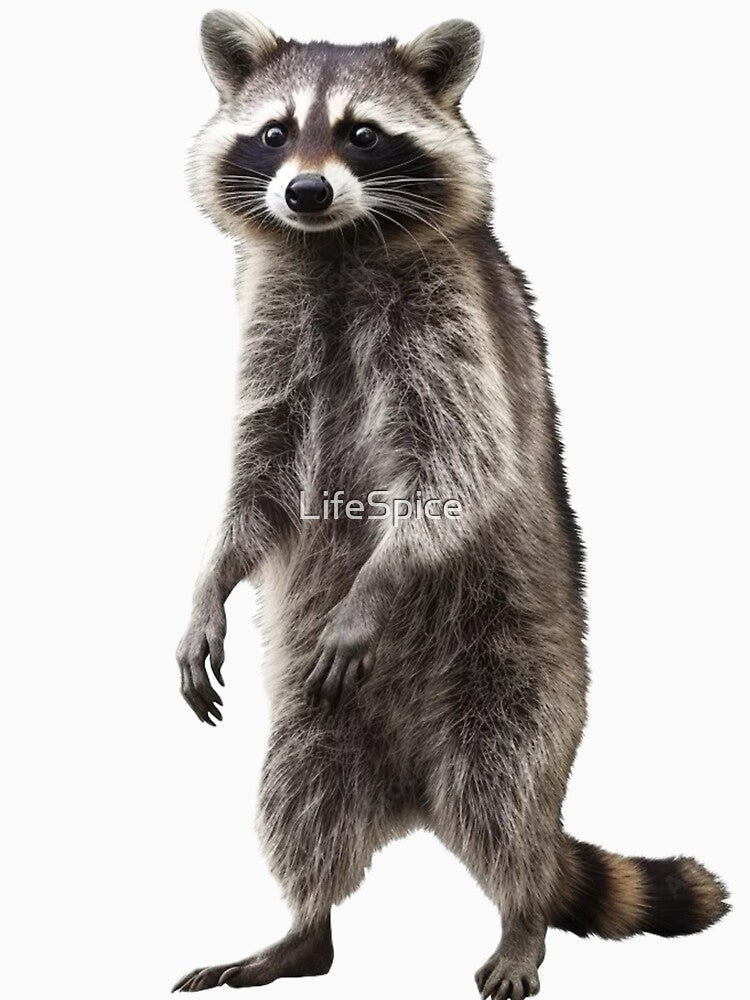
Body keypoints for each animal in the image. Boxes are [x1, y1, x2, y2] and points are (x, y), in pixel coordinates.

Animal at [173, 12, 728, 997]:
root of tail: (412, 795)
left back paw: (522, 915)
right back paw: (302, 928)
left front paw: (378, 581)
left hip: (515, 669)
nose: (305, 192)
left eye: (361, 133)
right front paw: (211, 580)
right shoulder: (271, 324)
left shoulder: (454, 319)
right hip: (318, 718)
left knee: (502, 791)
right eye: (275, 133)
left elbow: (460, 471)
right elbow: (258, 481)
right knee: (299, 788)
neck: (336, 247)